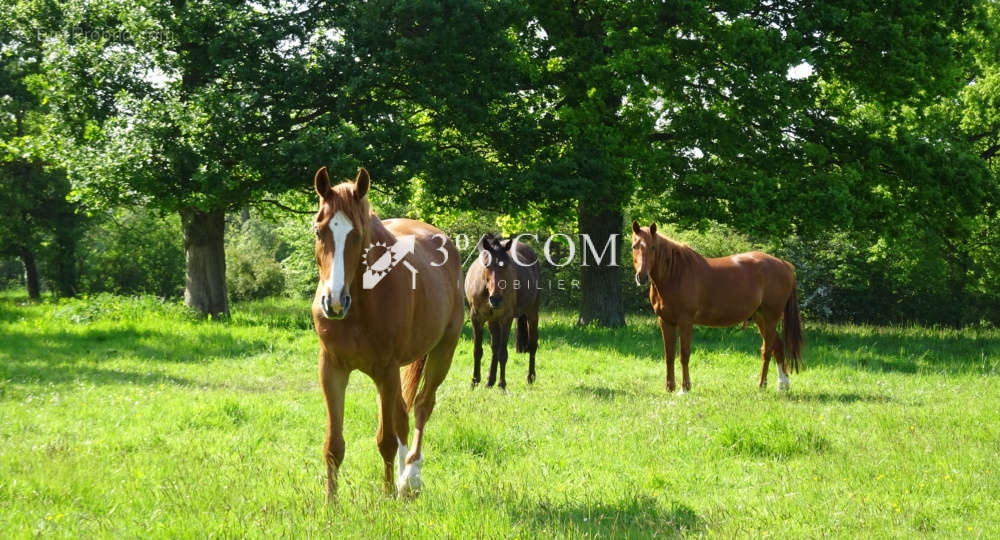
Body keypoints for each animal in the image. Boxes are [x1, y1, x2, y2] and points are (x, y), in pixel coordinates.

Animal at [310, 167, 462, 500]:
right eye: (319, 231)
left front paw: (388, 494)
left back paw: (410, 478)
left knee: (421, 406)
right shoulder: (332, 369)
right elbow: (333, 445)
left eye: (357, 234)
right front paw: (330, 503)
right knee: (404, 413)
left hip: (443, 351)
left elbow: (386, 440)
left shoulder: (386, 370)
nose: (334, 301)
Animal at [466, 232, 544, 388]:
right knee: (494, 347)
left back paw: (530, 377)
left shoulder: (506, 319)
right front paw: (475, 381)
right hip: (493, 321)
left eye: (506, 265)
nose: (495, 299)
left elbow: (503, 354)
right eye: (486, 265)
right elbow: (478, 351)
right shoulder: (476, 319)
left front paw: (502, 384)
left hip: (532, 313)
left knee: (532, 345)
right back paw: (490, 381)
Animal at [632, 221, 804, 394]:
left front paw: (684, 389)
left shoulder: (685, 320)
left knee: (767, 351)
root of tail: (785, 265)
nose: (642, 276)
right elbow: (669, 355)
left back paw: (761, 386)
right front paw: (669, 388)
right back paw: (782, 385)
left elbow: (684, 354)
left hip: (771, 316)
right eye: (634, 246)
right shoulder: (665, 321)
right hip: (760, 317)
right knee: (777, 346)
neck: (675, 274)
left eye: (653, 247)